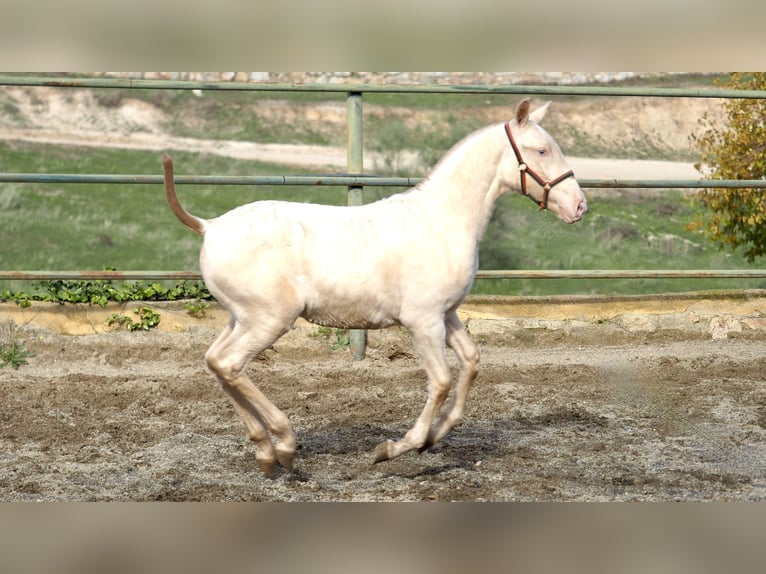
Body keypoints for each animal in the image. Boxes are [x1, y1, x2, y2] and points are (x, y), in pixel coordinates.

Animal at [162, 99, 588, 476]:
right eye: (542, 149)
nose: (579, 206)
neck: (442, 220)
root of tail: (209, 226)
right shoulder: (422, 321)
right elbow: (441, 381)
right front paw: (396, 448)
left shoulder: (446, 315)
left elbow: (470, 364)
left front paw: (434, 438)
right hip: (269, 320)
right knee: (229, 364)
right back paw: (283, 444)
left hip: (241, 318)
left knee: (215, 361)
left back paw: (265, 452)